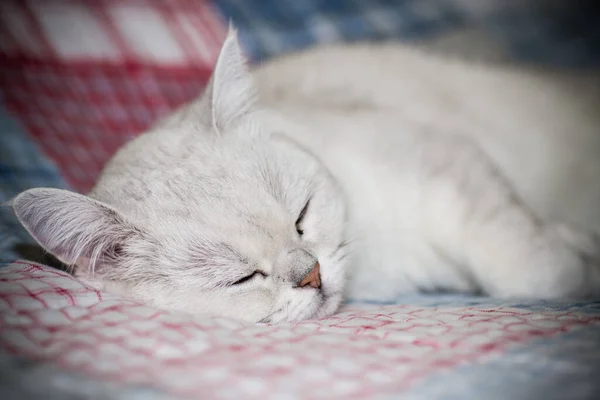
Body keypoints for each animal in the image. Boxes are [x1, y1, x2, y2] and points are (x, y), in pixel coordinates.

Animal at [9, 27, 600, 322]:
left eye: (301, 216)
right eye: (241, 277)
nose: (312, 274)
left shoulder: (443, 164)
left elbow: (530, 268)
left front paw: (579, 256)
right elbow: (533, 268)